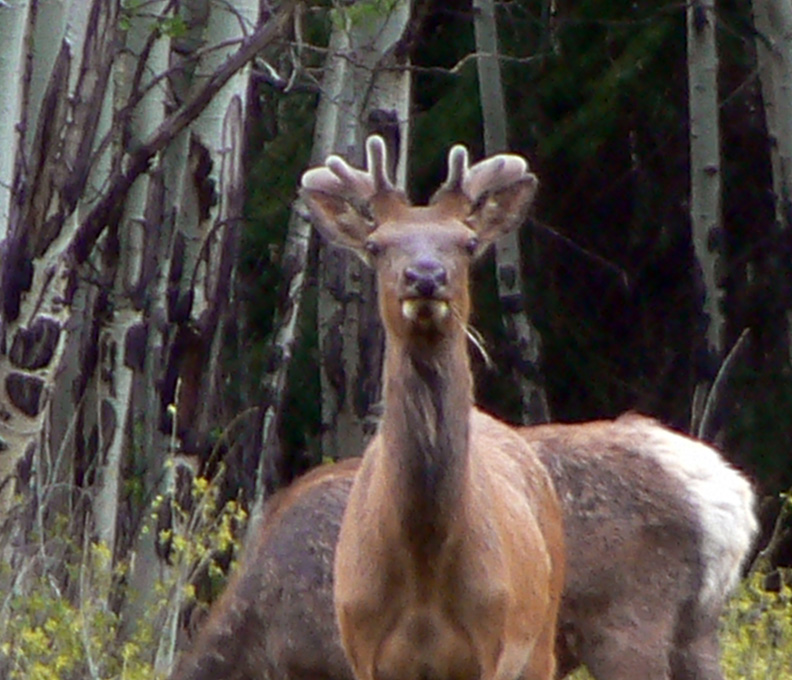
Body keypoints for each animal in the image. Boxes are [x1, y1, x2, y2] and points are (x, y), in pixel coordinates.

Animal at [296, 137, 564, 680]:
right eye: (376, 245)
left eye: (467, 242)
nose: (425, 276)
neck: (423, 563)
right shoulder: (359, 644)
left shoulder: (491, 644)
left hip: (541, 635)